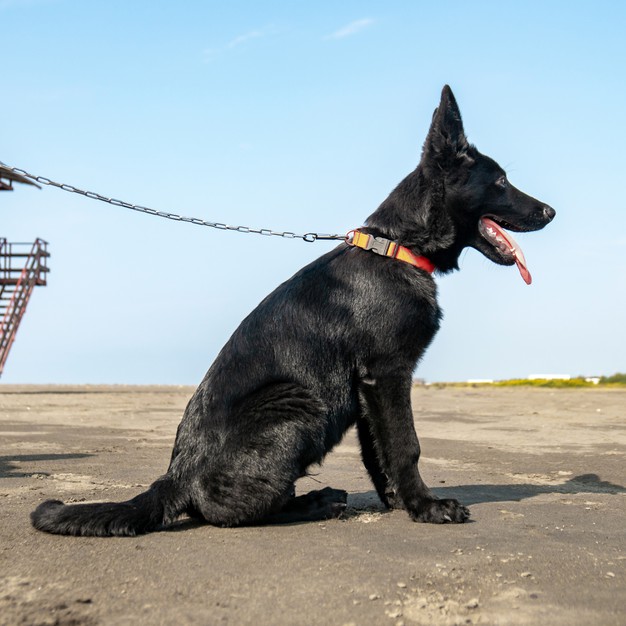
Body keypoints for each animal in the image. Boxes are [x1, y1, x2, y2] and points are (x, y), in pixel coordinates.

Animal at [31, 85, 552, 532]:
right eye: (501, 180)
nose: (550, 212)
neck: (397, 248)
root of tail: (175, 478)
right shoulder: (388, 374)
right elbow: (406, 447)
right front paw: (427, 508)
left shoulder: (368, 389)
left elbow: (378, 452)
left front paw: (399, 502)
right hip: (297, 402)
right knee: (231, 512)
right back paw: (315, 503)